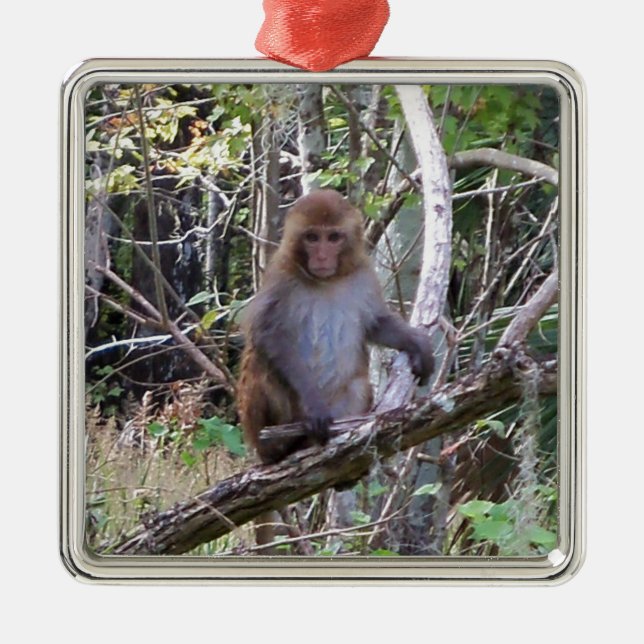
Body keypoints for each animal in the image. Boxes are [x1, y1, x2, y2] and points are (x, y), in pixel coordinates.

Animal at [238, 188, 434, 467]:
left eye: (333, 238)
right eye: (312, 237)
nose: (321, 256)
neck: (326, 281)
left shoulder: (363, 274)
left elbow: (376, 324)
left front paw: (416, 343)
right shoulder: (280, 277)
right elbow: (267, 335)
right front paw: (312, 401)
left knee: (357, 387)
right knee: (260, 361)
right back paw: (276, 447)